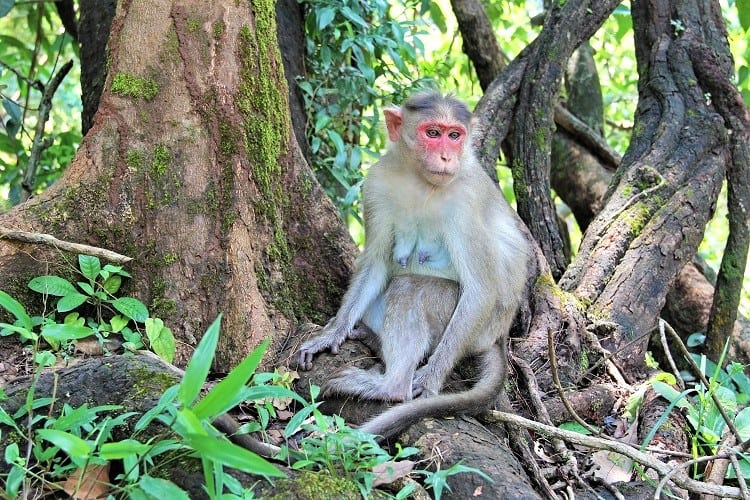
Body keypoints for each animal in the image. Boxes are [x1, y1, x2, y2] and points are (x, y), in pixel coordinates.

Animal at [296, 91, 532, 442]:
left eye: (454, 135)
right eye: (432, 133)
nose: (447, 157)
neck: (421, 181)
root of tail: (499, 336)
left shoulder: (466, 201)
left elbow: (481, 288)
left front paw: (430, 378)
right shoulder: (376, 182)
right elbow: (376, 260)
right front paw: (332, 333)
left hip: (477, 326)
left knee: (410, 288)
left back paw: (391, 386)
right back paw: (371, 337)